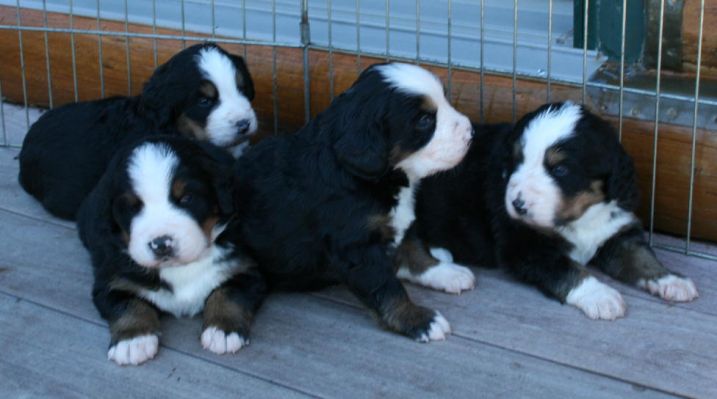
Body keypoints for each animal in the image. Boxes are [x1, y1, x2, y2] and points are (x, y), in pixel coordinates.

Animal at [78, 137, 262, 366]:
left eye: (187, 198)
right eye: (132, 207)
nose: (161, 244)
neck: (180, 268)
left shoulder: (242, 267)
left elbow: (229, 293)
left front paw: (223, 329)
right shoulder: (113, 280)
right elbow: (127, 304)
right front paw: (132, 340)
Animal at [232, 63, 472, 344]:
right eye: (425, 121)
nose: (471, 132)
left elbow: (415, 250)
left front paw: (445, 272)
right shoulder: (356, 245)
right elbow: (387, 287)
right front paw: (419, 319)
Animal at [402, 103, 700, 322]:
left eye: (560, 170)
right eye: (516, 161)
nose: (518, 204)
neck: (578, 219)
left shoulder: (615, 232)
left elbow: (640, 256)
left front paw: (670, 279)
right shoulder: (526, 244)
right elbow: (567, 269)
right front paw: (601, 296)